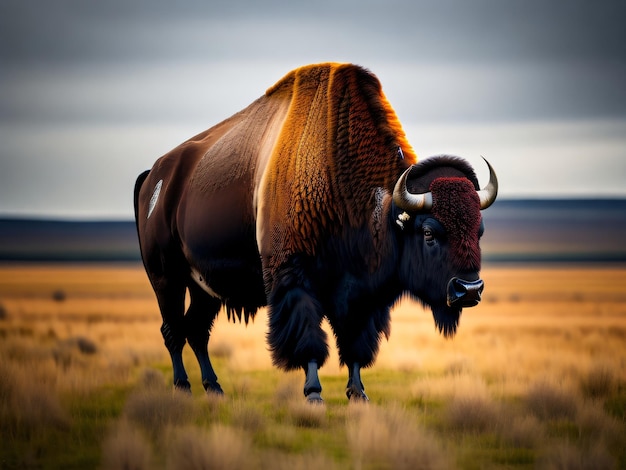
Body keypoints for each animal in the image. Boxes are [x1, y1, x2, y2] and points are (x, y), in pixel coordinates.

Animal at [134, 61, 494, 400]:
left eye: (479, 230)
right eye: (429, 232)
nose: (469, 289)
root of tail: (155, 175)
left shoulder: (362, 295)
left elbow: (355, 345)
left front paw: (358, 393)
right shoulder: (294, 278)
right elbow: (308, 338)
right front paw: (314, 394)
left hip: (204, 288)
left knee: (197, 330)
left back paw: (214, 388)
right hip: (166, 278)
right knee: (173, 330)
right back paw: (183, 386)